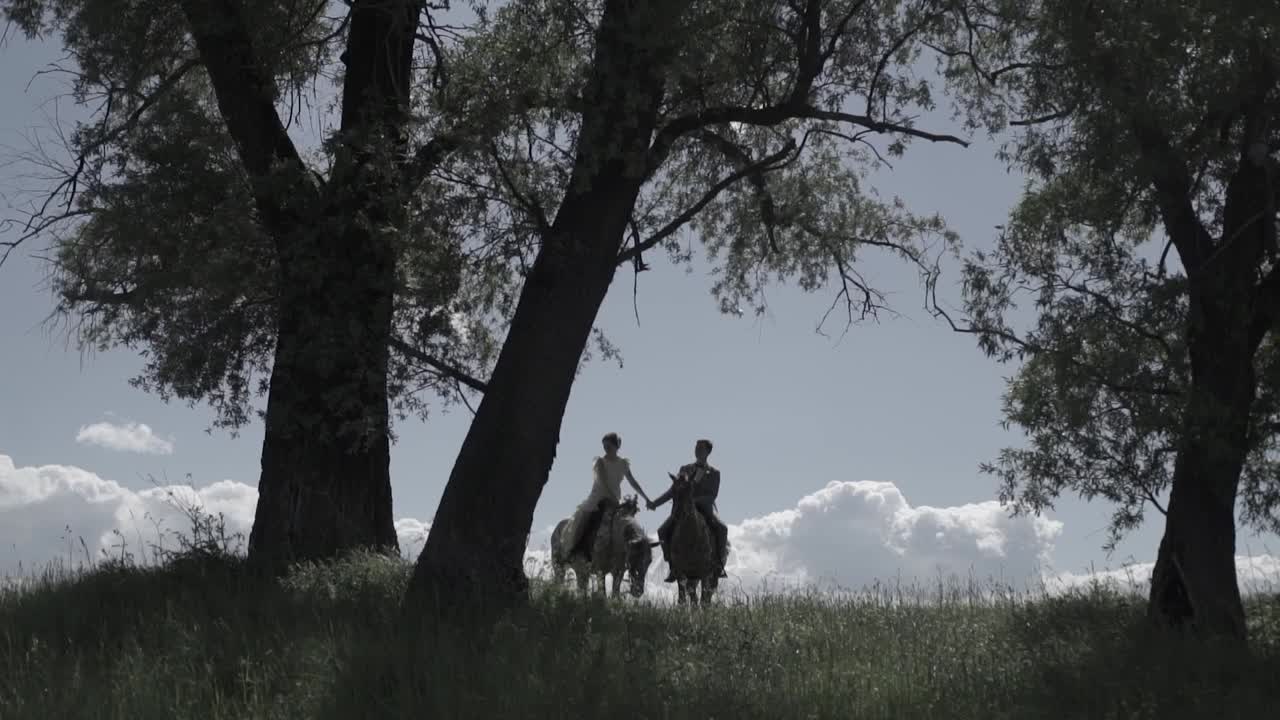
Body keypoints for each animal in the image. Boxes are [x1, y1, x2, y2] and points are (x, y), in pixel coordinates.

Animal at [664, 471, 721, 607]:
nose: (678, 513)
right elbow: (685, 598)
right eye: (673, 491)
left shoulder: (704, 572)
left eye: (690, 489)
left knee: (706, 595)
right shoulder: (680, 571)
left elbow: (703, 598)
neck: (690, 539)